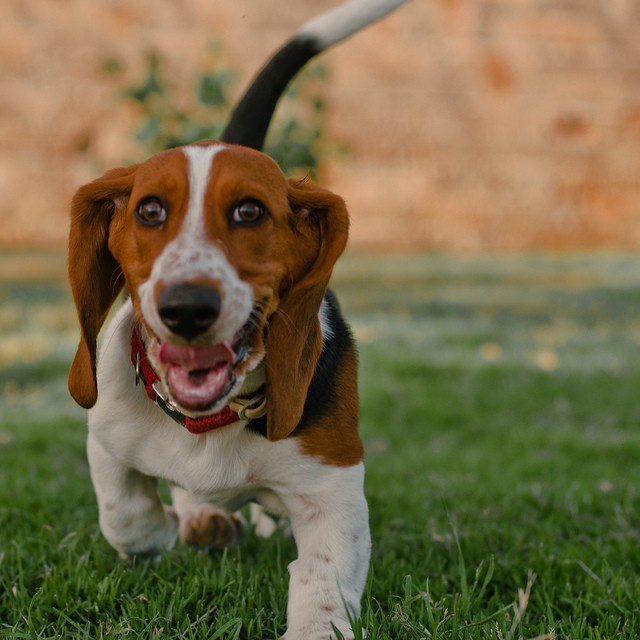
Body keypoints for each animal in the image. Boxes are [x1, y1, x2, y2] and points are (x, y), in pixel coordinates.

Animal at [69, 2, 404, 636]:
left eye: (250, 211)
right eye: (150, 210)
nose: (187, 306)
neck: (214, 420)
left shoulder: (334, 483)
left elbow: (323, 580)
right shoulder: (106, 435)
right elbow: (123, 512)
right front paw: (161, 530)